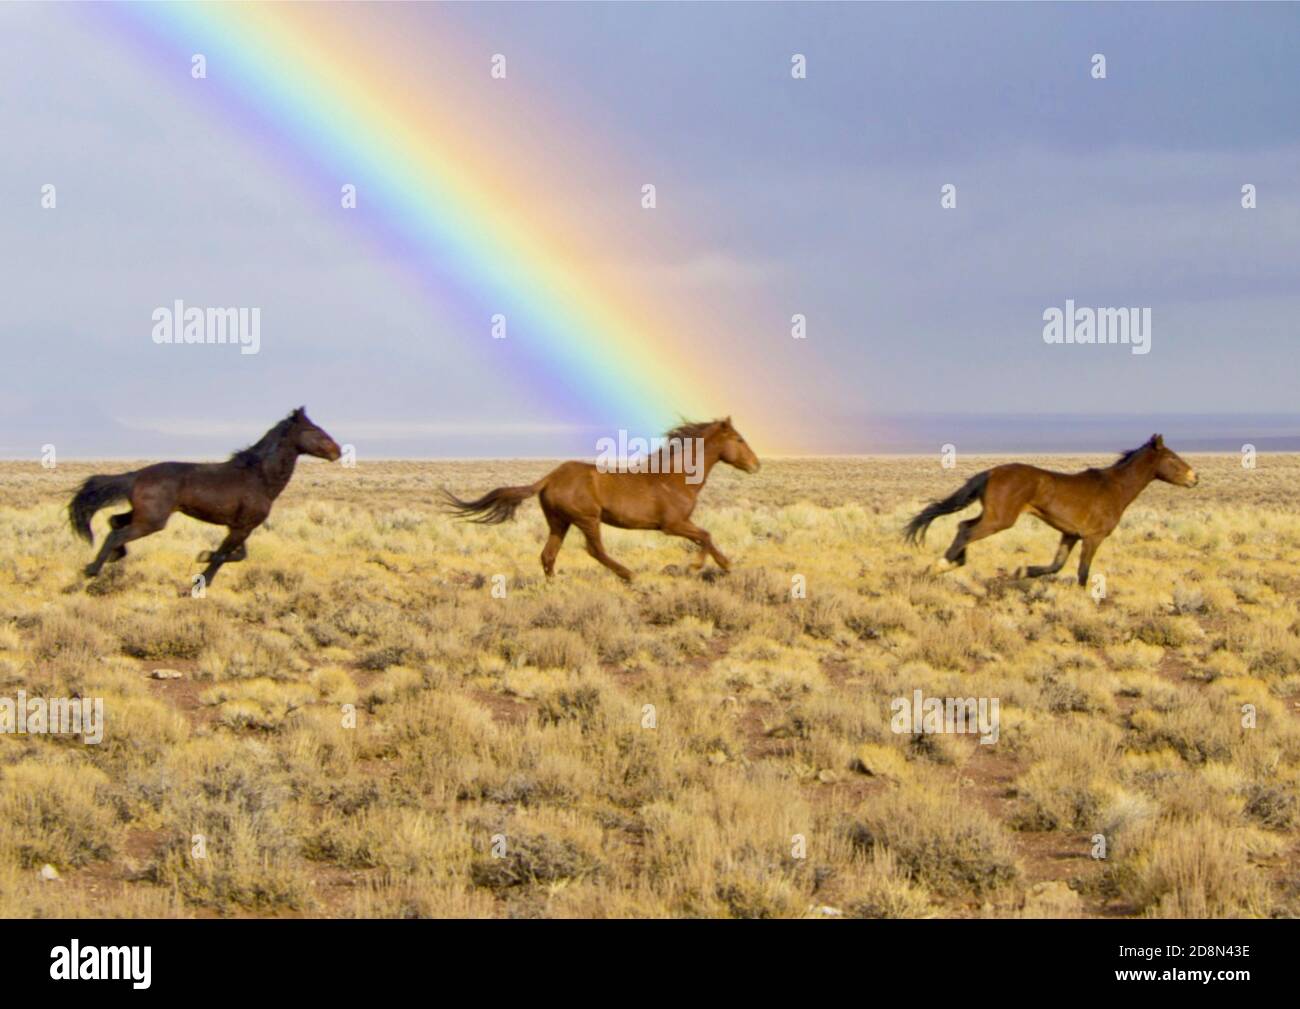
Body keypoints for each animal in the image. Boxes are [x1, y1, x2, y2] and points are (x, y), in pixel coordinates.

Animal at [69, 407, 341, 588]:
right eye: (312, 430)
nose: (337, 451)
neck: (259, 477)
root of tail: (136, 475)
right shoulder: (242, 528)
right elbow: (223, 556)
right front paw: (200, 582)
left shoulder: (240, 527)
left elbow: (238, 555)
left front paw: (202, 556)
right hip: (152, 520)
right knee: (117, 533)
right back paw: (92, 569)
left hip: (144, 515)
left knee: (115, 522)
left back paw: (112, 557)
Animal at [441, 418, 760, 581]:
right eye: (740, 440)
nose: (756, 465)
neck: (678, 477)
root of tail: (550, 478)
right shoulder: (673, 524)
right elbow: (705, 536)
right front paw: (697, 567)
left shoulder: (681, 523)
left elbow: (707, 537)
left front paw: (723, 565)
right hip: (588, 519)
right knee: (595, 551)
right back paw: (629, 575)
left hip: (559, 522)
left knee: (548, 555)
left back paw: (554, 586)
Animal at [904, 434, 1198, 586]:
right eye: (1172, 458)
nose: (1195, 478)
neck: (1115, 488)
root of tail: (991, 472)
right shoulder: (1093, 537)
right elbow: (1082, 573)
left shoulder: (1070, 534)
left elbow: (1057, 565)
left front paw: (1023, 572)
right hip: (1000, 519)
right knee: (966, 531)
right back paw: (940, 565)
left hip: (993, 516)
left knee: (963, 526)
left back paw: (953, 562)